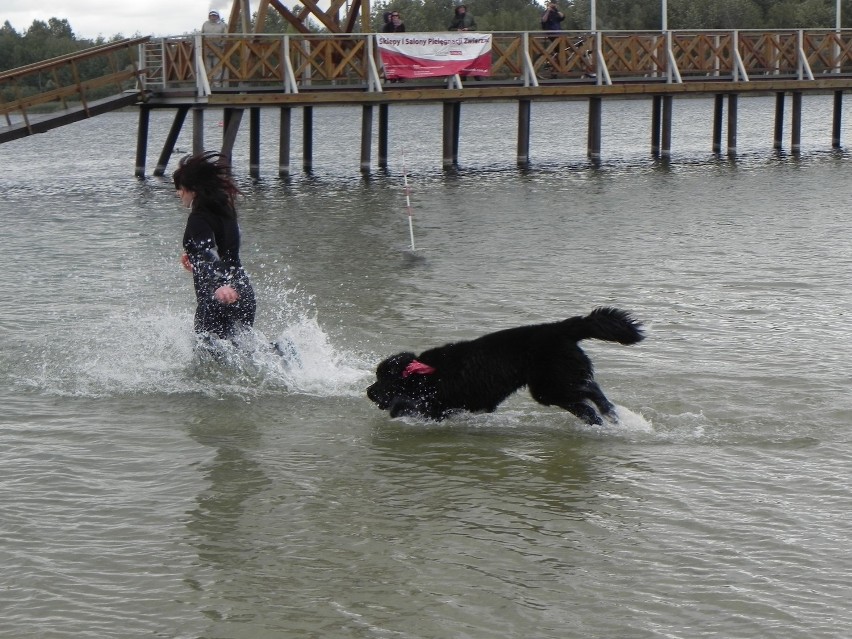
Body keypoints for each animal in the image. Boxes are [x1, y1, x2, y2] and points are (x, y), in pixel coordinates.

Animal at [366, 308, 644, 424]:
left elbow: (405, 405)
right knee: (588, 398)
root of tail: (560, 329)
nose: (368, 392)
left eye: (383, 379)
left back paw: (607, 416)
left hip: (550, 385)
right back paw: (606, 417)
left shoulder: (434, 400)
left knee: (589, 393)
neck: (426, 375)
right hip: (554, 386)